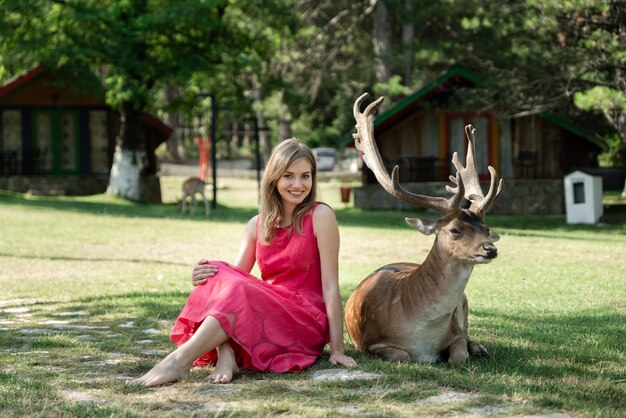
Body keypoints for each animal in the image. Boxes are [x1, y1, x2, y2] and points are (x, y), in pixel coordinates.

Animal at [344, 93, 504, 364]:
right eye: (454, 230)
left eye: (486, 228)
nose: (490, 249)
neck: (423, 336)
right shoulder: (373, 344)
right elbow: (403, 356)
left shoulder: (455, 331)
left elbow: (459, 352)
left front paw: (464, 351)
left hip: (465, 302)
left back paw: (479, 347)